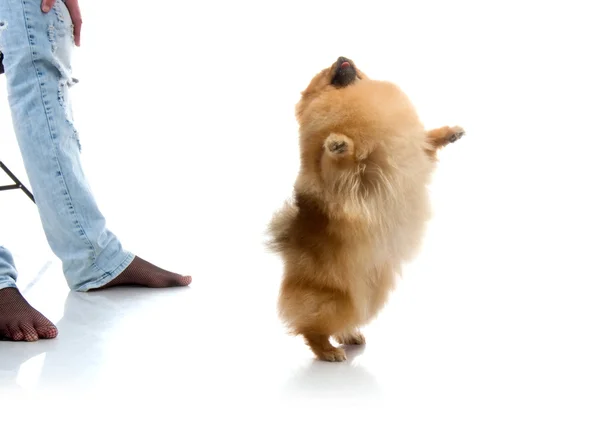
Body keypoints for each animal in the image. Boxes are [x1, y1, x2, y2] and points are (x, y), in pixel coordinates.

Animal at [266, 56, 464, 362]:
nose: (341, 56)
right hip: (330, 298)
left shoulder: (415, 146)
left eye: (351, 66)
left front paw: (450, 132)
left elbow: (428, 140)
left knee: (345, 318)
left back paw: (350, 335)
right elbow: (332, 160)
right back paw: (328, 351)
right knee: (310, 328)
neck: (354, 98)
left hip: (368, 294)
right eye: (326, 72)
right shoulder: (338, 179)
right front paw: (338, 142)